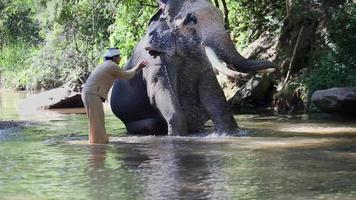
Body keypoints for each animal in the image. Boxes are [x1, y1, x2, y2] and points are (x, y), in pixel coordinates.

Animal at [110, 0, 274, 136]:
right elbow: (159, 90)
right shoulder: (153, 59)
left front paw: (232, 134)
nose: (274, 65)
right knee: (150, 124)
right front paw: (177, 136)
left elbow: (211, 89)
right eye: (190, 20)